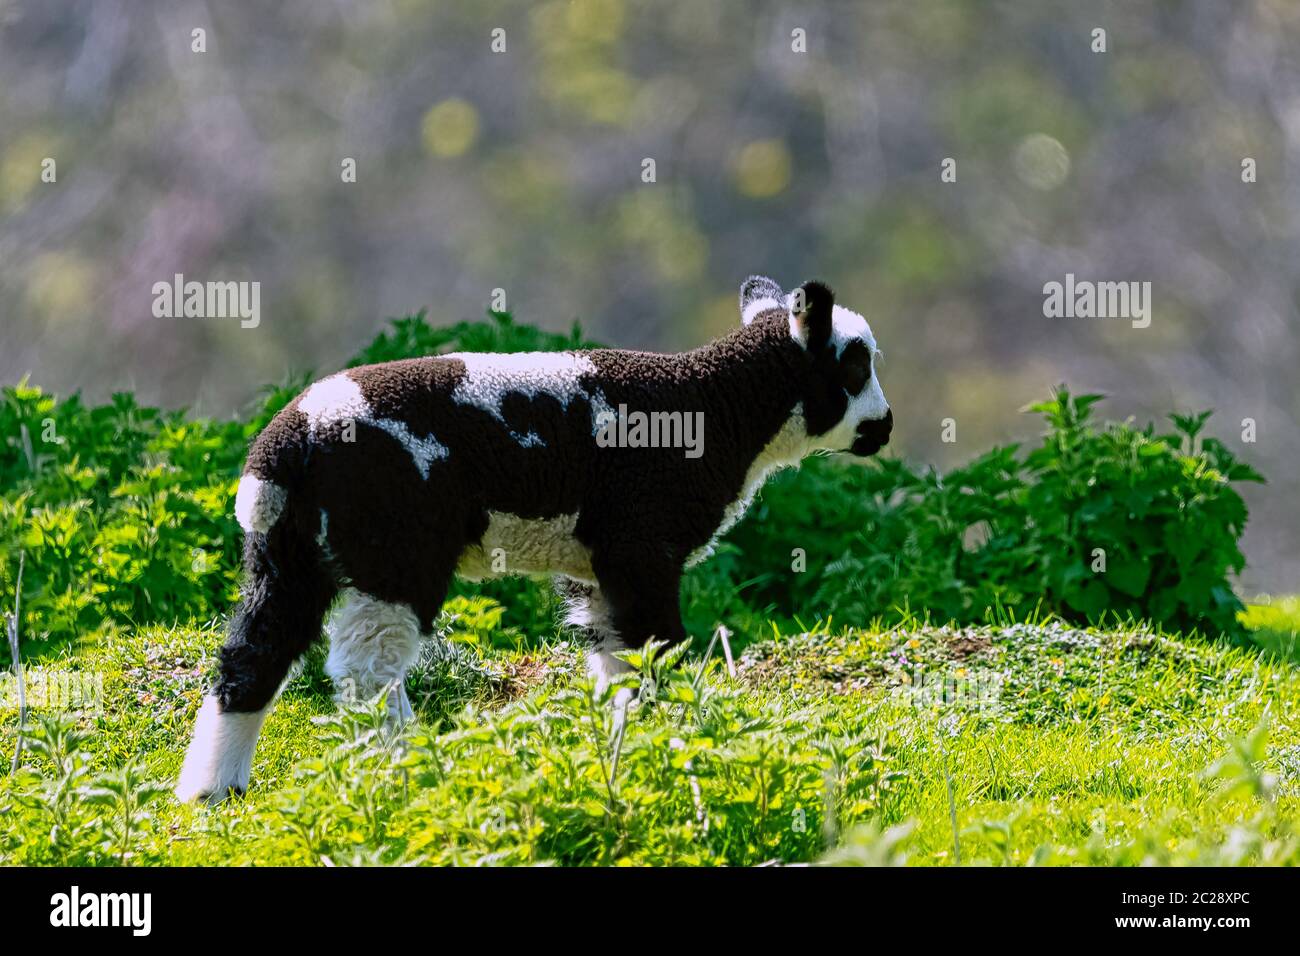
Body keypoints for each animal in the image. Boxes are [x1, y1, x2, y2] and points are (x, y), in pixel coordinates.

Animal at [178, 277, 894, 801]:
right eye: (856, 366)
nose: (885, 427)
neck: (720, 409)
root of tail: (285, 443)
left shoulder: (597, 567)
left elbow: (616, 662)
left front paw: (626, 746)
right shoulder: (642, 542)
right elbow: (659, 649)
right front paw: (680, 743)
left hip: (286, 551)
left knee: (252, 656)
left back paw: (215, 790)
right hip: (397, 547)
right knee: (367, 670)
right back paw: (408, 770)